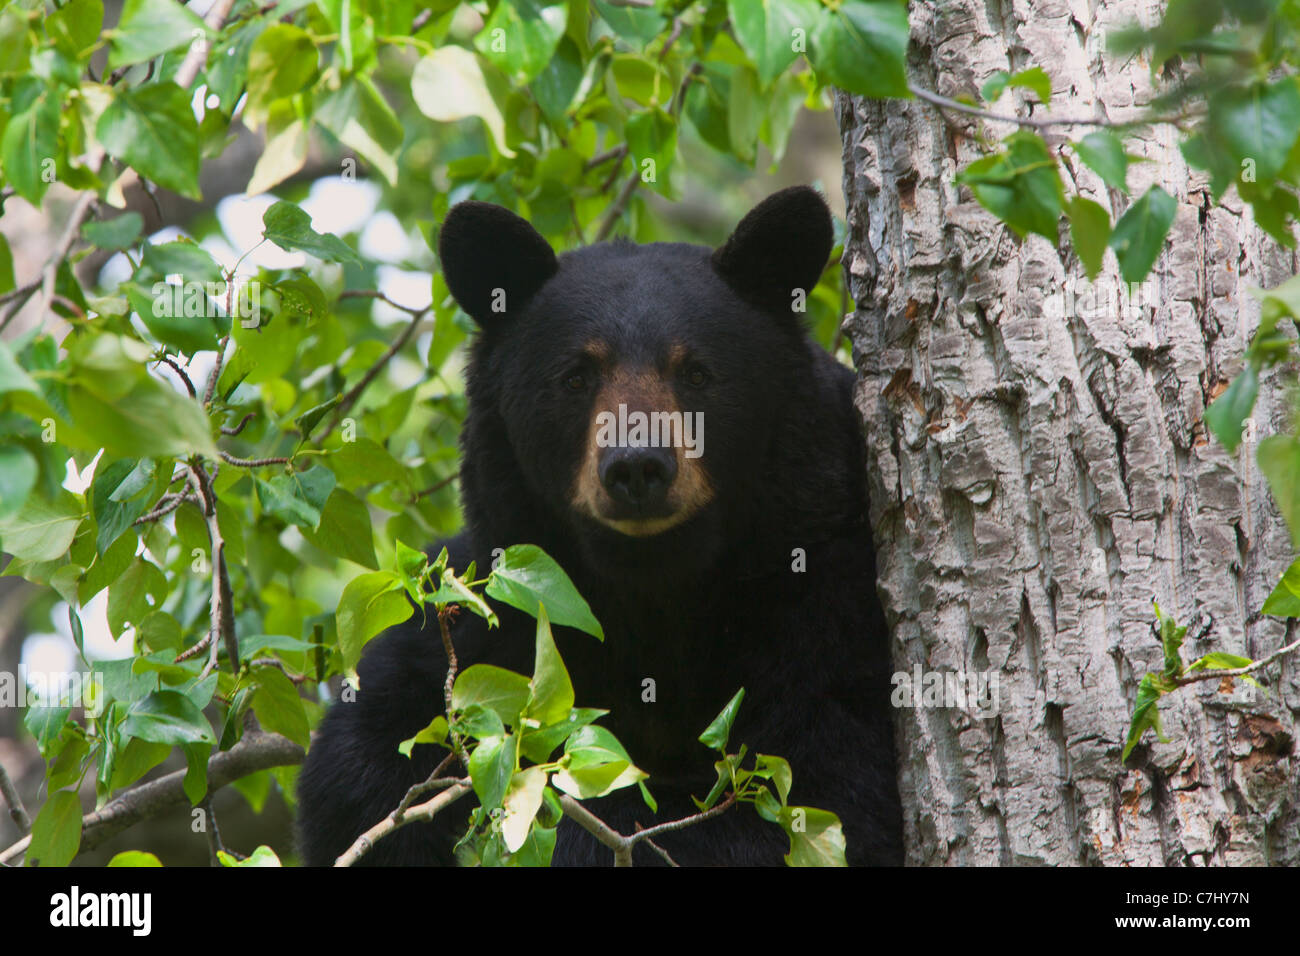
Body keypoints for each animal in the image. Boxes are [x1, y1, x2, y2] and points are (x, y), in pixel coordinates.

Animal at [297, 187, 904, 868]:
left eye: (696, 372)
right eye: (576, 375)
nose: (637, 466)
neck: (652, 592)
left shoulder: (825, 600)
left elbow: (817, 793)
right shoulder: (505, 610)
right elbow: (361, 759)